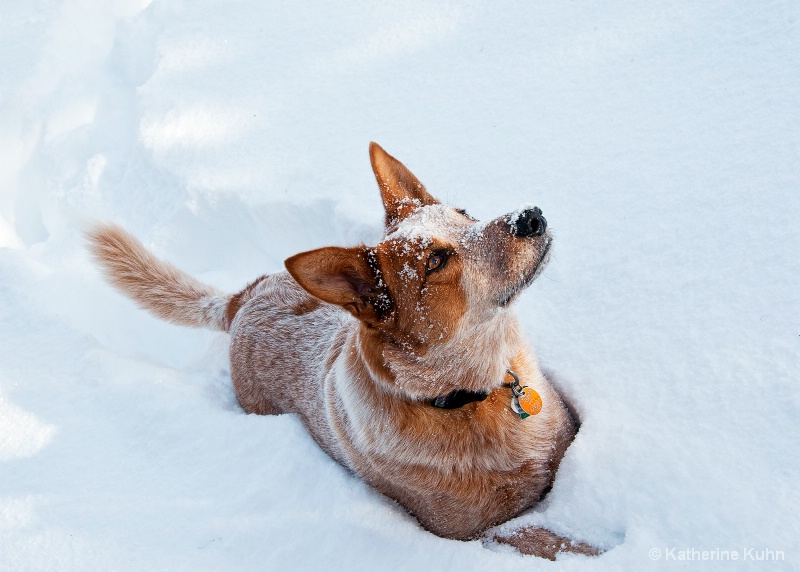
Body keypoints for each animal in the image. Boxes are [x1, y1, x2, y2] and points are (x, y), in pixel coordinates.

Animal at [89, 142, 592, 560]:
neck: (470, 399)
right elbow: (550, 539)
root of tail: (242, 298)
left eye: (463, 212)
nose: (530, 216)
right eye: (435, 261)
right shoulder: (479, 533)